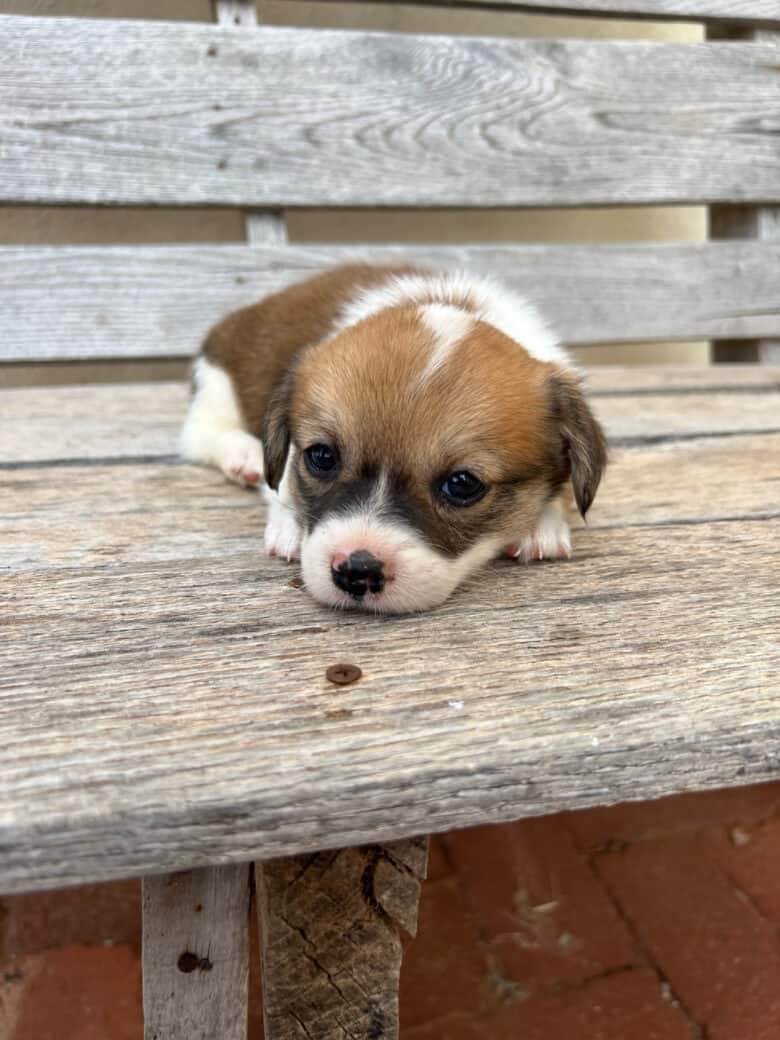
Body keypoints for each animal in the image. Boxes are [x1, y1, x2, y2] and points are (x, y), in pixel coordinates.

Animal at [179, 264, 607, 611]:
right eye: (322, 456)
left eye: (462, 484)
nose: (355, 572)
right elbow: (280, 481)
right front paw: (288, 523)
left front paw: (542, 522)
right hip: (217, 387)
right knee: (201, 433)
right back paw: (245, 455)